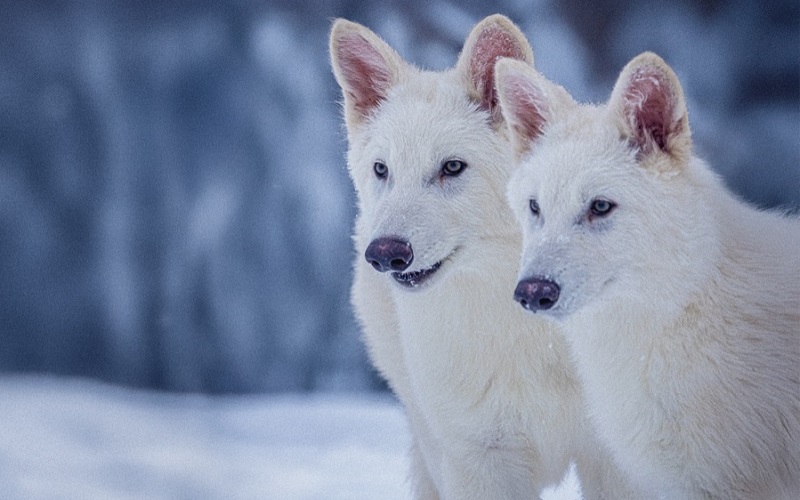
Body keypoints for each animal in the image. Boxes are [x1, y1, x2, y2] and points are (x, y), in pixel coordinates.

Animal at [329, 14, 638, 500]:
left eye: (452, 167)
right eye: (382, 170)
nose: (385, 254)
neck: (527, 330)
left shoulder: (614, 458)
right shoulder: (480, 459)